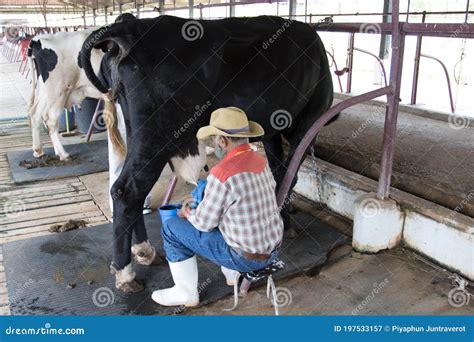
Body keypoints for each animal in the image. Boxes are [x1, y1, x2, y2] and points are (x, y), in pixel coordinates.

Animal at [80, 15, 334, 292]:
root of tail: (130, 25)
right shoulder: (308, 122)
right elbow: (290, 175)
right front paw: (285, 225)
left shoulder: (272, 130)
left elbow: (279, 172)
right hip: (155, 135)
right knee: (127, 190)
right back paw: (126, 273)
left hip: (134, 130)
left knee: (128, 189)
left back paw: (145, 251)